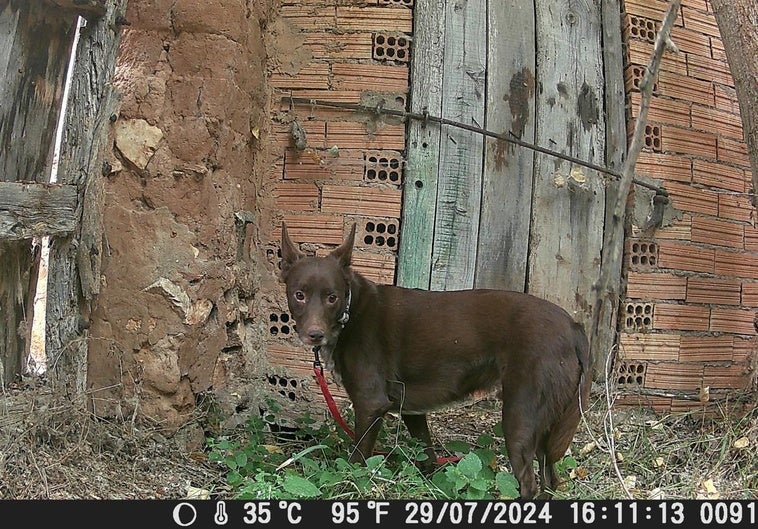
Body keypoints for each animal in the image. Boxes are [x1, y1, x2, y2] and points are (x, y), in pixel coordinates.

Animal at [280, 221, 592, 498]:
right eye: (299, 295)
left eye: (332, 297)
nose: (314, 335)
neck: (351, 311)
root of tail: (574, 327)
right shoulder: (410, 409)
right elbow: (427, 457)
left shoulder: (371, 404)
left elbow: (356, 462)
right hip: (546, 425)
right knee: (551, 480)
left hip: (520, 417)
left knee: (528, 485)